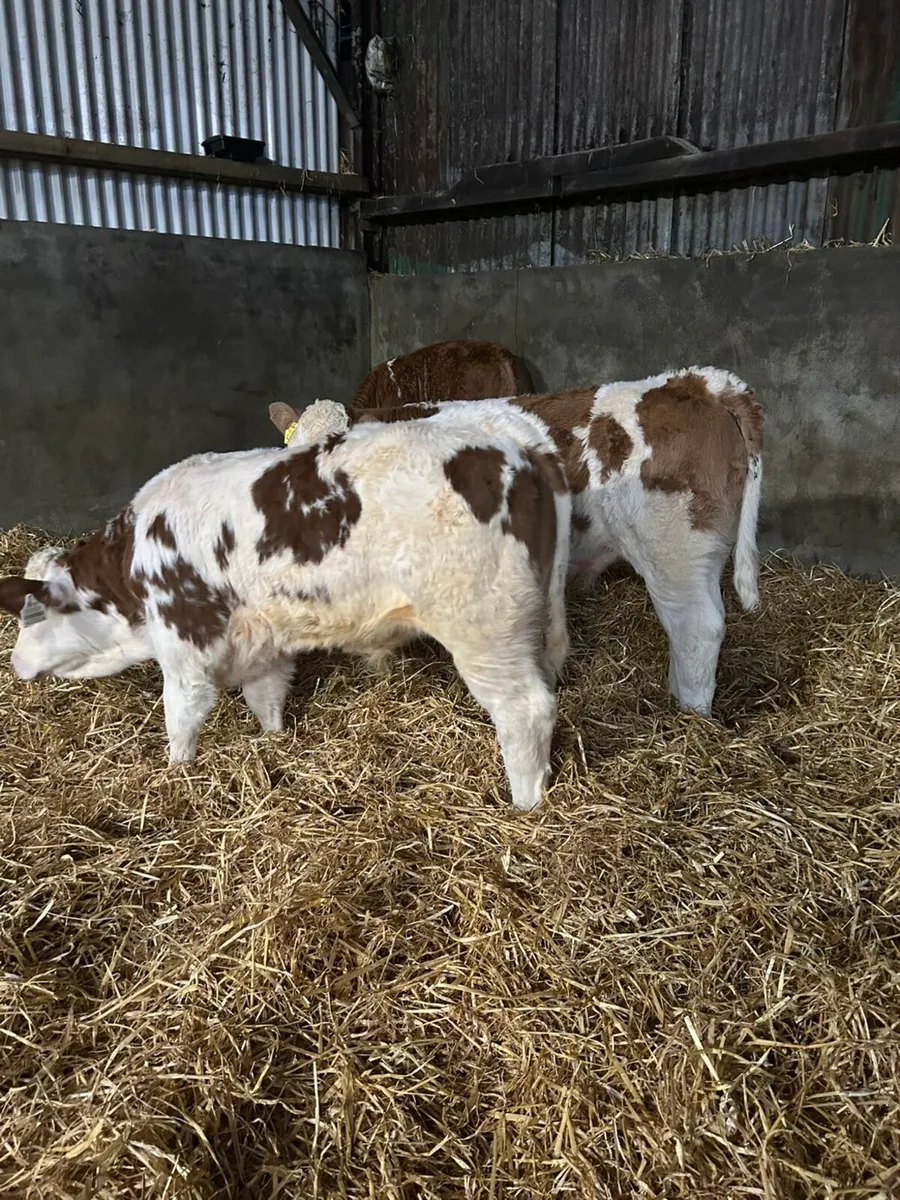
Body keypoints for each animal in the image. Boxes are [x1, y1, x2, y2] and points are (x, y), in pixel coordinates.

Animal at [0, 407, 570, 812]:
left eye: (32, 614)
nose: (16, 664)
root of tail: (516, 444)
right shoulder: (261, 639)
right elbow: (266, 697)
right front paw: (274, 743)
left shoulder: (184, 642)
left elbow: (181, 716)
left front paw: (177, 773)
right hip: (534, 619)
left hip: (485, 629)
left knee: (526, 711)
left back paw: (524, 805)